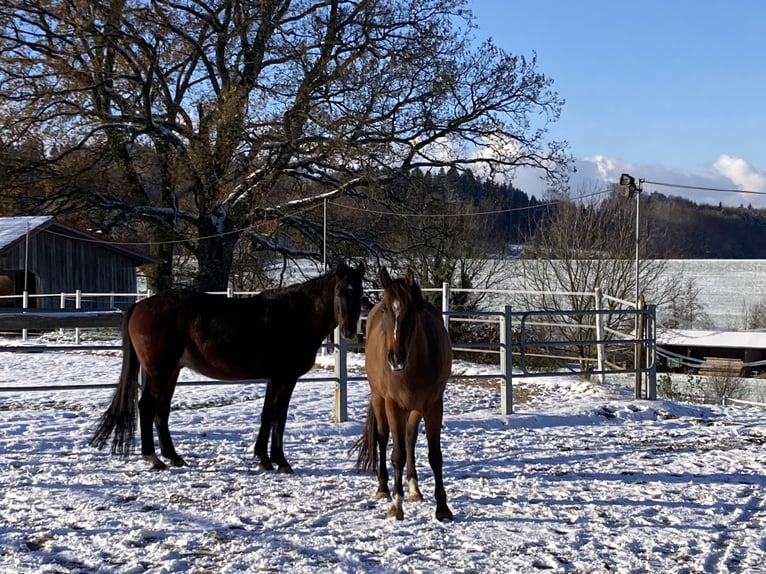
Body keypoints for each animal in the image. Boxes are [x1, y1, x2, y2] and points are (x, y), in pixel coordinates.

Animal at [90, 264, 366, 474]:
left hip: (172, 371)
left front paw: (266, 459)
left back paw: (174, 457)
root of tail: (141, 305)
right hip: (160, 371)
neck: (295, 315)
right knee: (147, 408)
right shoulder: (283, 379)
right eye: (339, 290)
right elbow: (276, 418)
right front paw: (278, 461)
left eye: (360, 292)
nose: (349, 330)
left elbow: (270, 416)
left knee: (162, 411)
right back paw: (153, 458)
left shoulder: (276, 380)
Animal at [356, 268, 456, 524]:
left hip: (415, 409)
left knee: (410, 438)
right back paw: (383, 488)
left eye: (412, 310)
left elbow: (434, 455)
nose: (395, 358)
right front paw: (396, 505)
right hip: (379, 399)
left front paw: (442, 507)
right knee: (383, 438)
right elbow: (397, 454)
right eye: (385, 309)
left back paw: (414, 488)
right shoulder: (393, 405)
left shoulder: (433, 406)